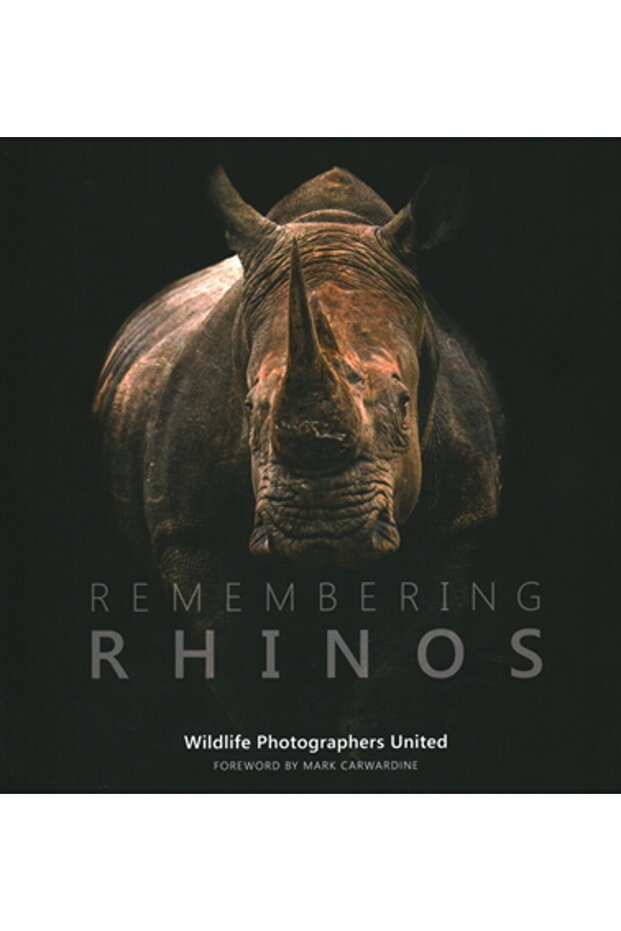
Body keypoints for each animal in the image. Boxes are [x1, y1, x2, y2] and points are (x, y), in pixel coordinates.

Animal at [93, 166, 503, 734]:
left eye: (403, 404)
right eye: (248, 407)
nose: (321, 529)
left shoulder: (456, 532)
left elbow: (389, 685)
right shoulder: (193, 535)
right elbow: (244, 678)